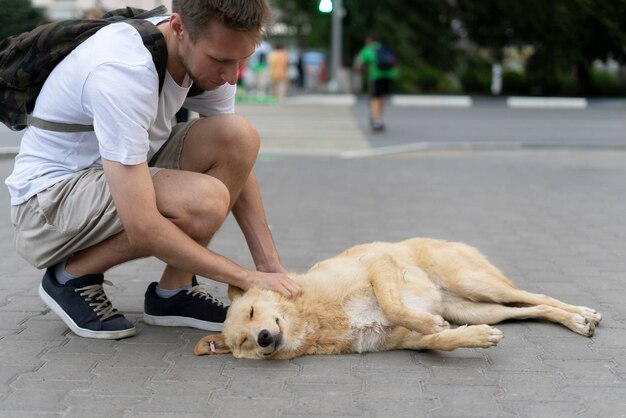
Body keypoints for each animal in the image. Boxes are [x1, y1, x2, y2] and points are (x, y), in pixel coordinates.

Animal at [195, 238, 600, 360]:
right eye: (244, 342)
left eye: (252, 311)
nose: (264, 339)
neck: (315, 318)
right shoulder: (407, 342)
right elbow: (442, 339)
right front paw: (473, 337)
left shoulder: (378, 263)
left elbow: (394, 305)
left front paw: (428, 319)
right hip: (474, 308)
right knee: (532, 309)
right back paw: (576, 321)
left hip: (476, 283)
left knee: (536, 295)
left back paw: (583, 313)